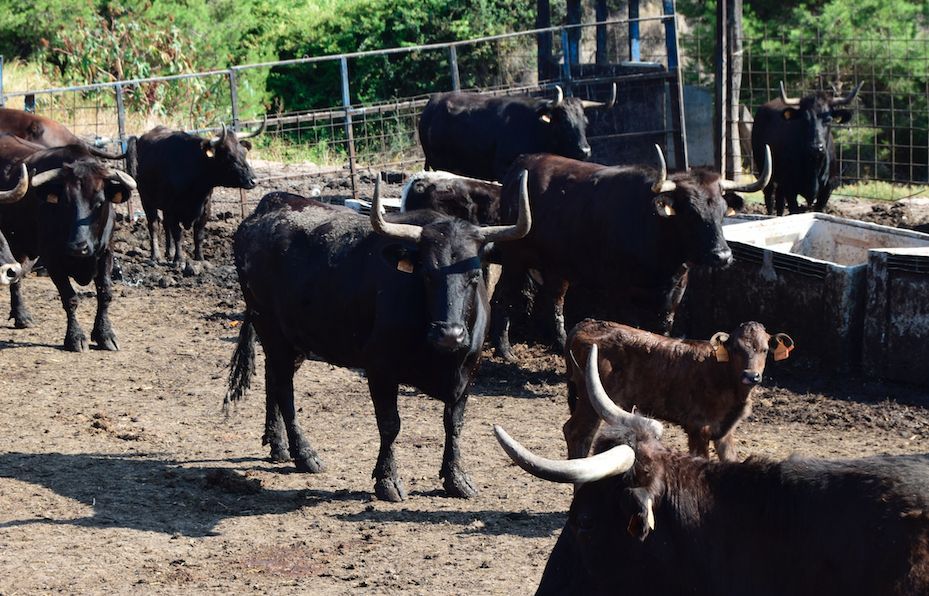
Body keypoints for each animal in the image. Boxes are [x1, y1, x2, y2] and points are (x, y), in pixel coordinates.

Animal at [0, 134, 136, 350]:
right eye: (66, 202)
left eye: (99, 202)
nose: (78, 247)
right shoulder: (52, 259)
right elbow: (70, 298)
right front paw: (75, 337)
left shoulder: (106, 253)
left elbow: (105, 293)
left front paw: (105, 334)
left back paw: (21, 316)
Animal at [224, 175, 528, 500]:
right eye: (426, 274)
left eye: (474, 276)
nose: (450, 334)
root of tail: (267, 207)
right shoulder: (379, 369)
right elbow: (390, 424)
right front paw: (388, 480)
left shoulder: (468, 371)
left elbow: (454, 423)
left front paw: (456, 478)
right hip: (271, 329)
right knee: (285, 390)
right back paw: (304, 454)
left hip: (292, 339)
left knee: (273, 380)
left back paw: (277, 445)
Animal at [490, 147, 772, 360]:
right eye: (691, 213)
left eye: (722, 211)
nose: (722, 256)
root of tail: (522, 163)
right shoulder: (618, 290)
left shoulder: (676, 291)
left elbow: (662, 328)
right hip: (515, 258)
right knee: (503, 297)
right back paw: (505, 351)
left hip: (557, 267)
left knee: (554, 302)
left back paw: (561, 345)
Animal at [560, 316, 792, 460]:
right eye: (735, 348)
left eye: (764, 350)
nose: (751, 376)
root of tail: (586, 324)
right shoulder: (699, 428)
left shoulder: (724, 431)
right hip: (591, 398)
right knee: (578, 433)